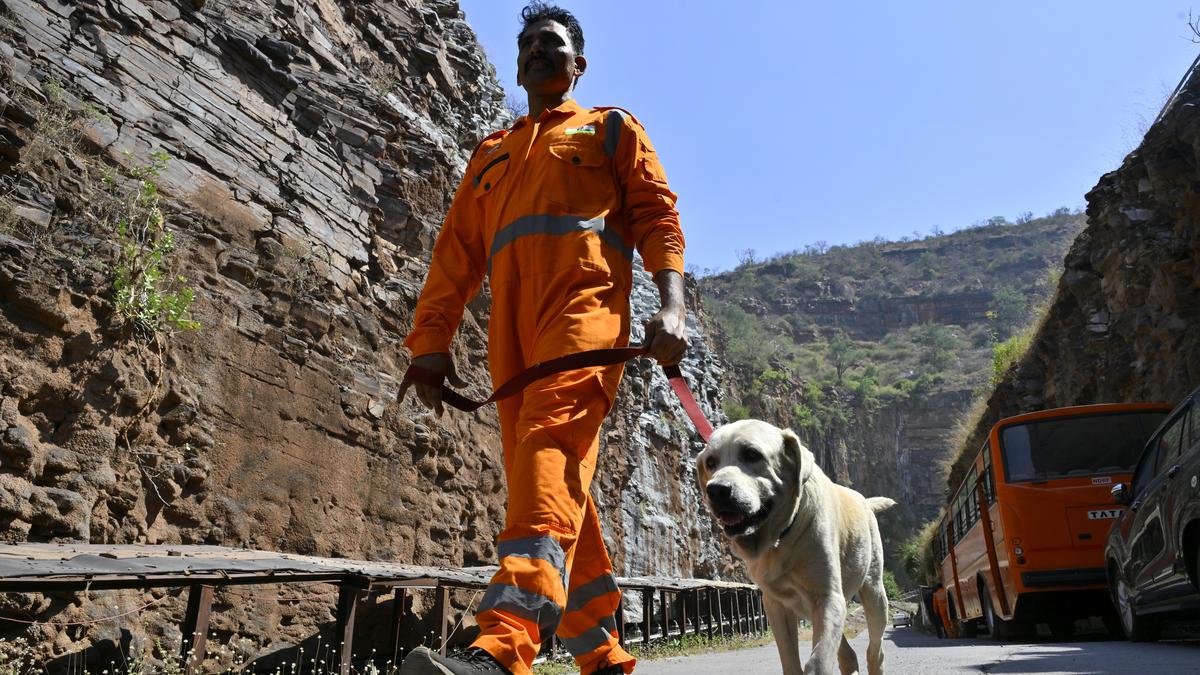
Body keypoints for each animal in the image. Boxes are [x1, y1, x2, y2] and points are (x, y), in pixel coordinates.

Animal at [700, 417, 897, 672]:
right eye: (710, 462)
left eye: (752, 454)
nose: (715, 490)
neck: (782, 536)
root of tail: (865, 501)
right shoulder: (775, 605)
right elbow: (791, 660)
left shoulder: (829, 597)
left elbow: (819, 661)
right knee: (847, 653)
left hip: (874, 594)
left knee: (875, 650)